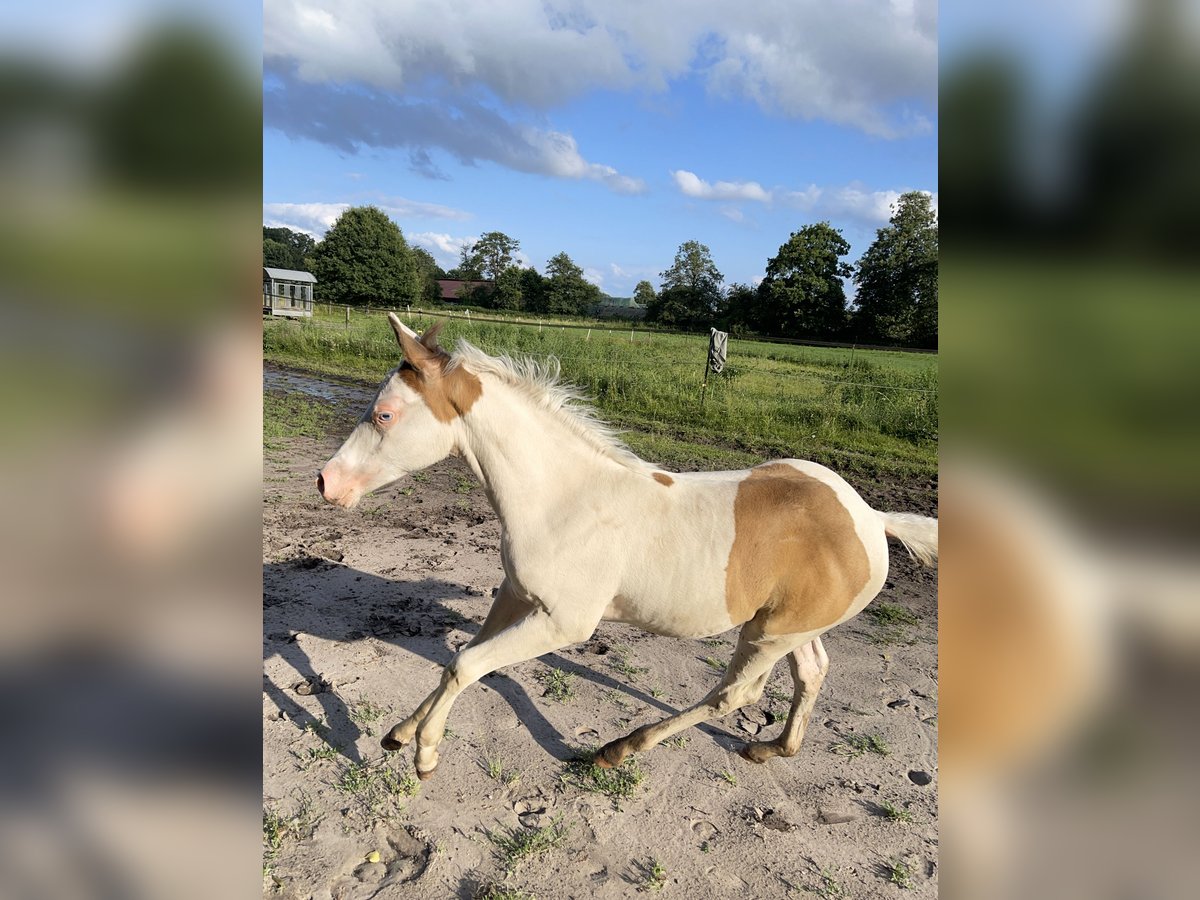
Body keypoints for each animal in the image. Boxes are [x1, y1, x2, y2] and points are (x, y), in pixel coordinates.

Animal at [319, 316, 936, 782]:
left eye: (384, 414)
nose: (327, 482)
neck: (561, 499)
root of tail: (871, 518)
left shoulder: (564, 623)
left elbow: (465, 664)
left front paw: (425, 752)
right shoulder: (516, 597)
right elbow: (461, 657)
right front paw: (400, 733)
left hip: (768, 634)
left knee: (736, 693)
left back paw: (617, 750)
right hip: (788, 625)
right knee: (811, 672)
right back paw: (772, 748)